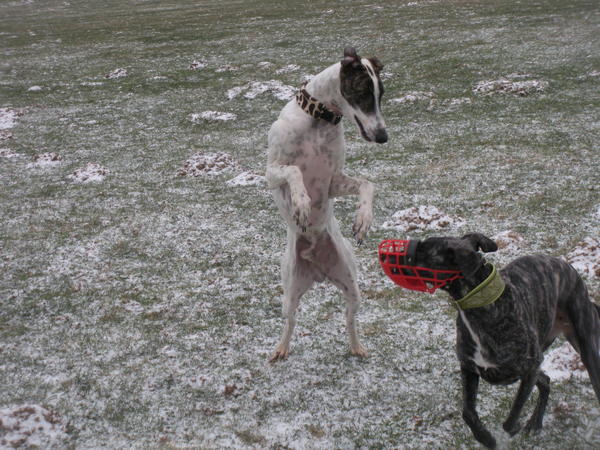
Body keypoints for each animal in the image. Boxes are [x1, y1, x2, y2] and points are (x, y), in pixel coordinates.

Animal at [264, 46, 386, 362]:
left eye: (381, 94)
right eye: (362, 92)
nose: (383, 137)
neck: (318, 120)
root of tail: (317, 272)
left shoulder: (333, 182)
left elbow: (368, 183)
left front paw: (363, 220)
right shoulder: (271, 173)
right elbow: (294, 171)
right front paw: (301, 204)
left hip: (351, 285)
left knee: (350, 318)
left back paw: (356, 346)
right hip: (289, 290)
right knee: (290, 321)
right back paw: (281, 348)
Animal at [410, 234, 596, 448]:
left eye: (423, 250)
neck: (482, 308)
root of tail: (566, 265)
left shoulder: (529, 369)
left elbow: (512, 416)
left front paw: (511, 430)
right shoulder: (469, 368)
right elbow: (468, 413)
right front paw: (486, 438)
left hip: (585, 346)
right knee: (545, 381)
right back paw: (535, 423)